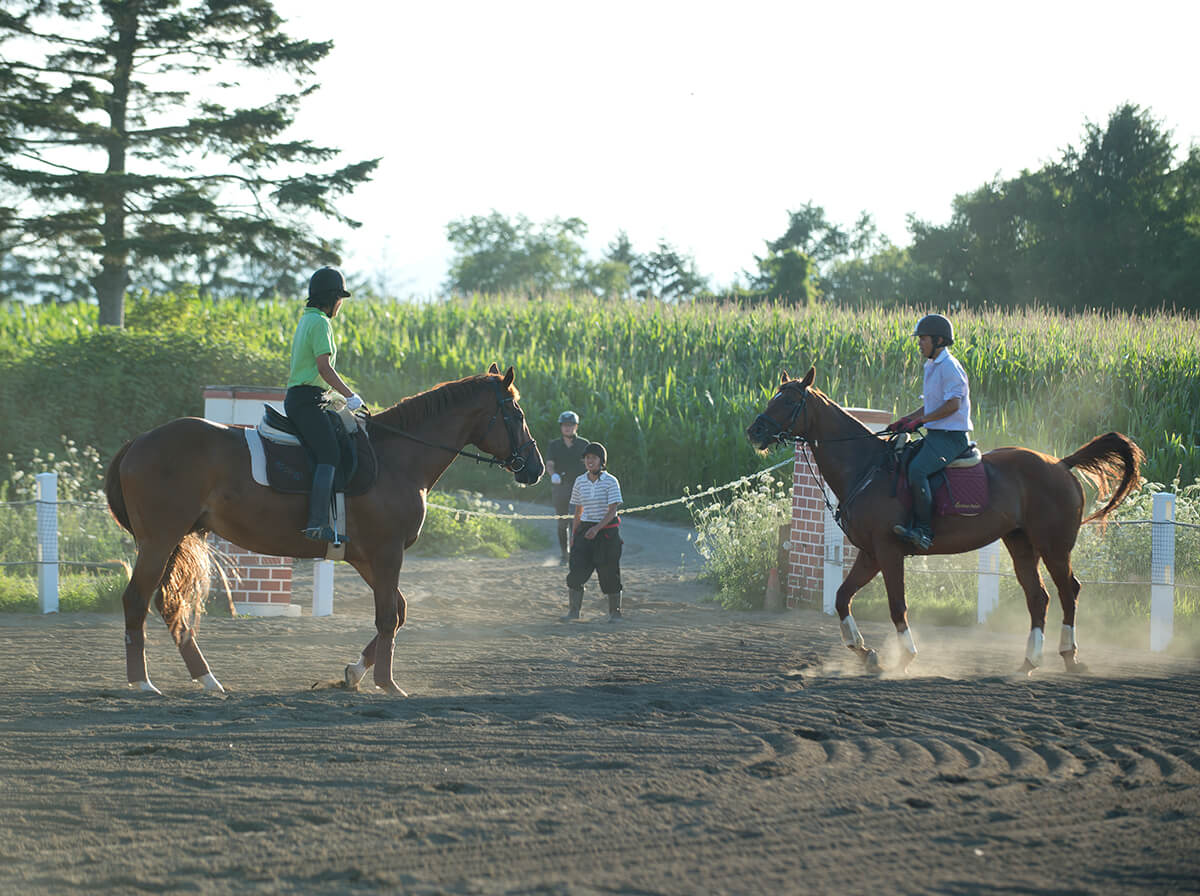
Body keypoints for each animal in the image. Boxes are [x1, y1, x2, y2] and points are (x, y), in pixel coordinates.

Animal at [105, 362, 547, 695]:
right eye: (517, 415)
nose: (537, 468)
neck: (398, 457)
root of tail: (139, 441)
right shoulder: (387, 553)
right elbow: (388, 616)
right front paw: (387, 683)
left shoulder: (367, 557)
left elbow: (399, 611)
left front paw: (354, 673)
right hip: (158, 539)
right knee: (136, 600)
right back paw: (142, 682)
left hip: (172, 538)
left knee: (167, 605)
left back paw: (207, 678)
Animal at [744, 367, 1147, 676]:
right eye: (773, 398)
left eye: (788, 401)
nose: (754, 432)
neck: (866, 467)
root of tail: (1061, 464)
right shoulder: (871, 554)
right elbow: (842, 598)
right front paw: (865, 653)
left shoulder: (888, 552)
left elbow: (896, 605)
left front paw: (905, 657)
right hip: (1021, 545)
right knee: (1039, 598)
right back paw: (1029, 662)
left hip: (1054, 546)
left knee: (1068, 592)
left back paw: (1070, 657)